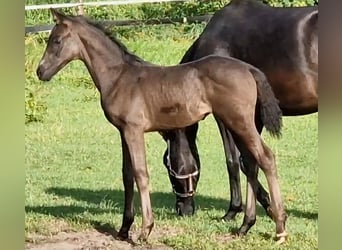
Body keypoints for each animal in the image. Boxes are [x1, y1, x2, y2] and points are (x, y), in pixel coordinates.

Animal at [35, 8, 286, 243]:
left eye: (57, 41)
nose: (40, 71)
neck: (119, 77)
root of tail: (249, 69)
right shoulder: (123, 132)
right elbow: (127, 176)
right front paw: (124, 229)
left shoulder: (134, 130)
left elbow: (141, 174)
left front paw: (145, 230)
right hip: (237, 124)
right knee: (252, 163)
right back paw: (245, 226)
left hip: (239, 121)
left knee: (266, 158)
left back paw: (280, 227)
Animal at [163, 0, 318, 230]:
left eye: (168, 165)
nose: (182, 210)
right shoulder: (253, 118)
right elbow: (251, 160)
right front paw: (269, 207)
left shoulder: (225, 115)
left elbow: (234, 160)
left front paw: (234, 210)